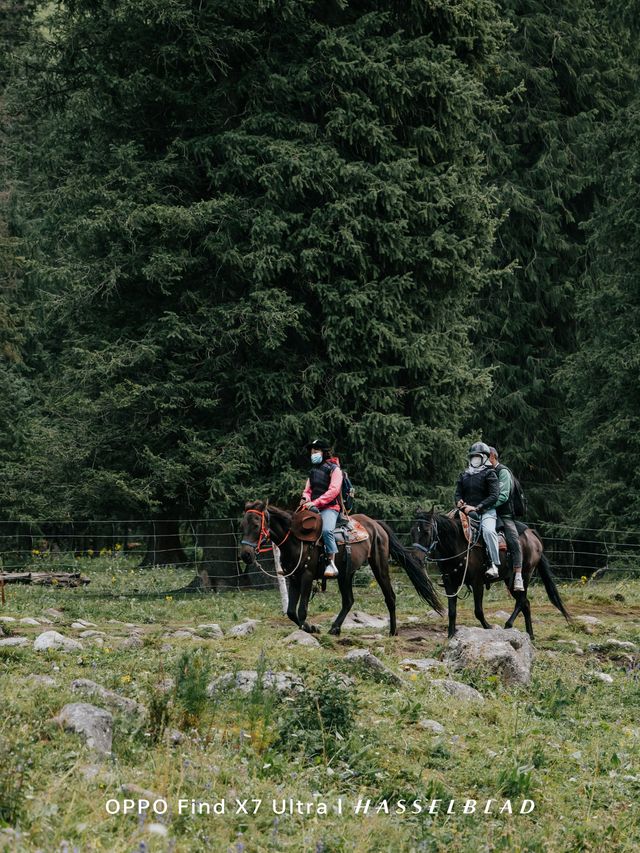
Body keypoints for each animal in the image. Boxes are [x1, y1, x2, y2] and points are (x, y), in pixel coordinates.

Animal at [238, 502, 442, 636]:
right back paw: (335, 628)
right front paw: (310, 627)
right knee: (348, 601)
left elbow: (302, 610)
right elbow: (290, 612)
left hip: (379, 566)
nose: (246, 555)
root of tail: (376, 524)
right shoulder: (293, 578)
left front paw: (311, 628)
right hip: (346, 574)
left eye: (256, 525)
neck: (296, 540)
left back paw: (392, 631)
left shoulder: (307, 576)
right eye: (242, 525)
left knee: (390, 596)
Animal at [410, 506, 568, 640]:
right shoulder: (450, 583)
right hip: (509, 579)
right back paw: (530, 635)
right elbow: (452, 611)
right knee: (526, 604)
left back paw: (508, 625)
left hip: (524, 575)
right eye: (412, 532)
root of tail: (532, 534)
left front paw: (489, 627)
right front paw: (450, 636)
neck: (457, 544)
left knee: (522, 601)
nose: (416, 558)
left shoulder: (477, 583)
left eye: (426, 532)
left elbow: (478, 611)